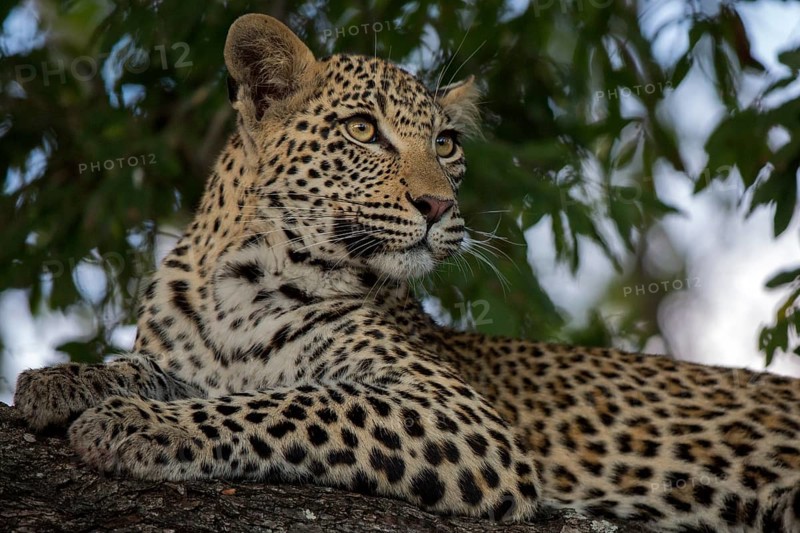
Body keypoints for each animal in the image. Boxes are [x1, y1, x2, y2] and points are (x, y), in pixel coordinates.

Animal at [13, 13, 800, 533]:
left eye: (446, 144)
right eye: (364, 131)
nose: (438, 204)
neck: (240, 283)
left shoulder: (461, 418)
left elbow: (290, 404)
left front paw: (134, 423)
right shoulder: (200, 357)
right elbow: (160, 370)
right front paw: (64, 380)